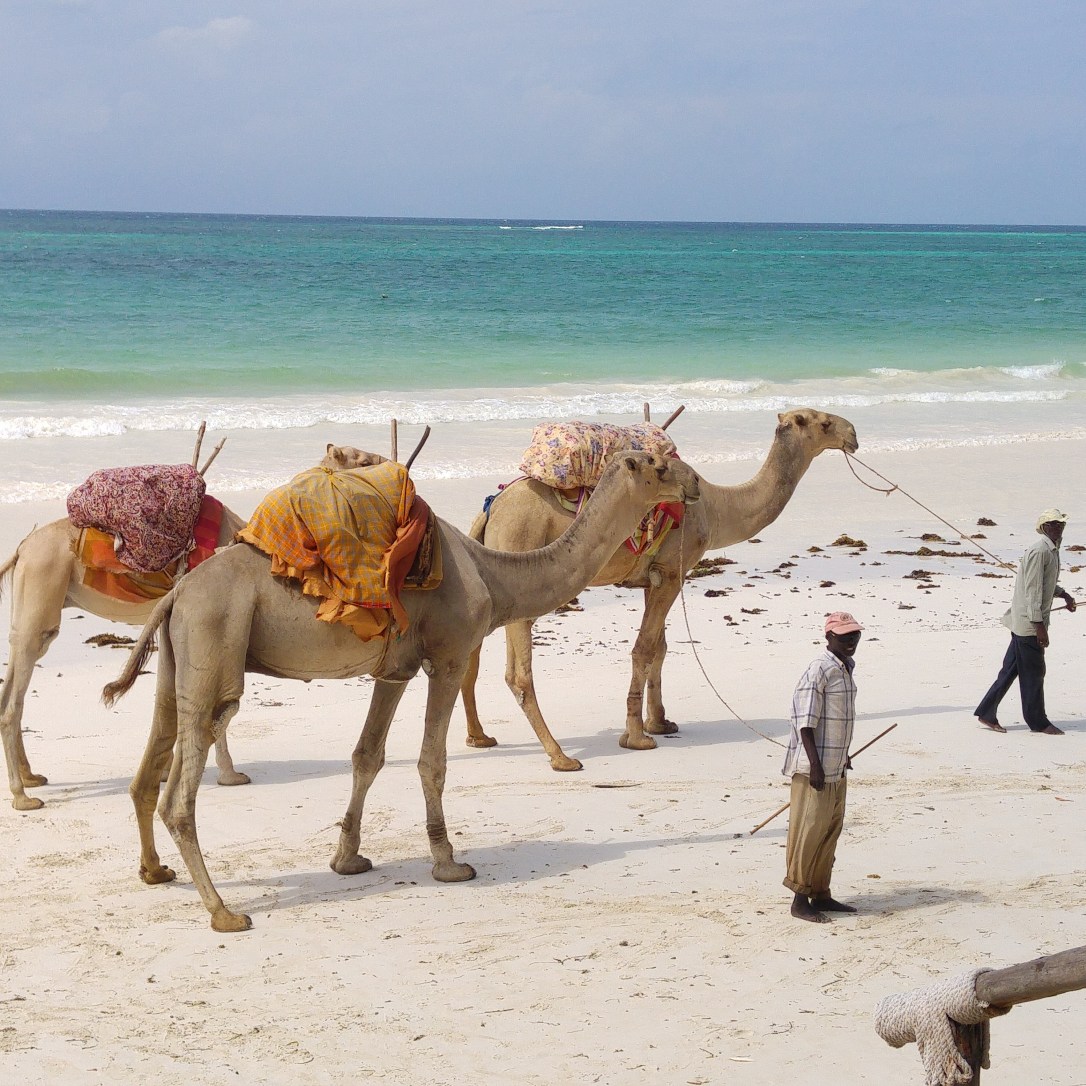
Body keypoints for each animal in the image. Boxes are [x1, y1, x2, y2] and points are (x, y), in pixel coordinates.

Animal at [0, 443, 384, 811]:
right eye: (362, 461)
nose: (388, 465)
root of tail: (22, 547)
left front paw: (175, 769)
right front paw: (229, 776)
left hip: (31, 609)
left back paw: (32, 778)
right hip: (41, 589)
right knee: (13, 699)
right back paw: (23, 797)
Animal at [101, 450, 700, 932]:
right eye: (657, 465)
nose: (694, 484)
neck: (493, 576)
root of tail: (176, 594)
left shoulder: (395, 669)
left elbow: (367, 756)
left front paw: (347, 859)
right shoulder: (448, 656)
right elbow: (432, 761)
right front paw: (449, 863)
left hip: (179, 661)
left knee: (150, 764)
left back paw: (156, 872)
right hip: (215, 642)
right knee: (184, 787)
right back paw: (224, 912)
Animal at [460, 408, 858, 770]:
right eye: (824, 422)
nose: (853, 434)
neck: (717, 508)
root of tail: (492, 510)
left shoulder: (653, 577)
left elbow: (660, 648)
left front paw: (660, 722)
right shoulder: (671, 573)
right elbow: (645, 648)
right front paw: (637, 736)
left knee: (474, 658)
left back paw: (480, 737)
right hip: (520, 551)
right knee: (517, 673)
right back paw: (559, 757)